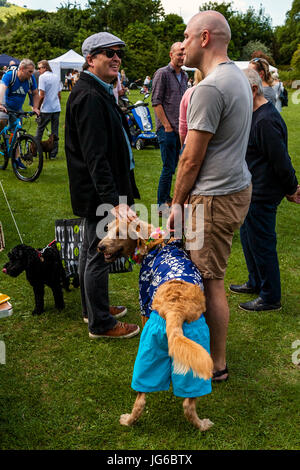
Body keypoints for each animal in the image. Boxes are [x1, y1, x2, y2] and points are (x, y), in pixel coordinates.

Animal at [98, 218, 213, 432]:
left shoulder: (143, 303)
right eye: (107, 229)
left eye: (119, 233)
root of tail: (175, 309)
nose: (100, 247)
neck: (155, 243)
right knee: (186, 403)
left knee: (143, 399)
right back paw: (201, 425)